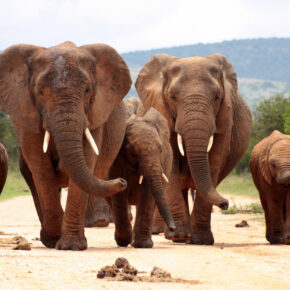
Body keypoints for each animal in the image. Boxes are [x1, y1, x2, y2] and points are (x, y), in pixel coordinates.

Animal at [0, 40, 131, 249]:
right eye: (40, 92)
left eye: (88, 91)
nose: (122, 182)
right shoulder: (27, 115)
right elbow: (40, 167)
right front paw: (54, 240)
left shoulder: (93, 114)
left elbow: (87, 159)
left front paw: (71, 246)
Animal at [109, 101, 176, 248]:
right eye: (133, 153)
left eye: (160, 150)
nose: (173, 228)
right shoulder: (116, 160)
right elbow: (119, 194)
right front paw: (124, 241)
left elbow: (148, 193)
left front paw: (143, 245)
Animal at [135, 52, 251, 245]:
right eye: (172, 96)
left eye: (217, 97)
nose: (226, 204)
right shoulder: (162, 109)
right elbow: (172, 160)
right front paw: (180, 236)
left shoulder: (225, 117)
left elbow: (215, 159)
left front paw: (201, 240)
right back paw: (173, 234)